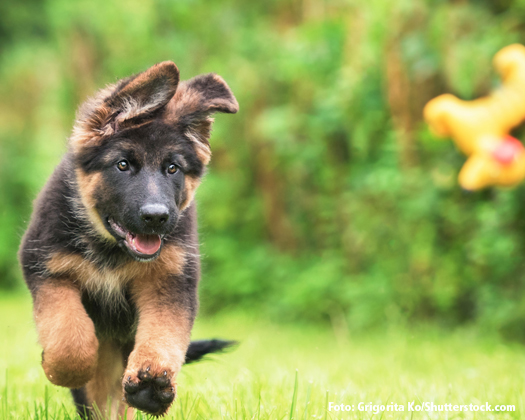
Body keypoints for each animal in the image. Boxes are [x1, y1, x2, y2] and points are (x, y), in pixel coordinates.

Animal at [18, 60, 238, 418]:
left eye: (173, 168)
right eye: (123, 165)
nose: (156, 217)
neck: (111, 248)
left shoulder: (170, 281)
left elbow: (163, 333)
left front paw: (152, 384)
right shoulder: (47, 269)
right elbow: (68, 337)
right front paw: (64, 369)